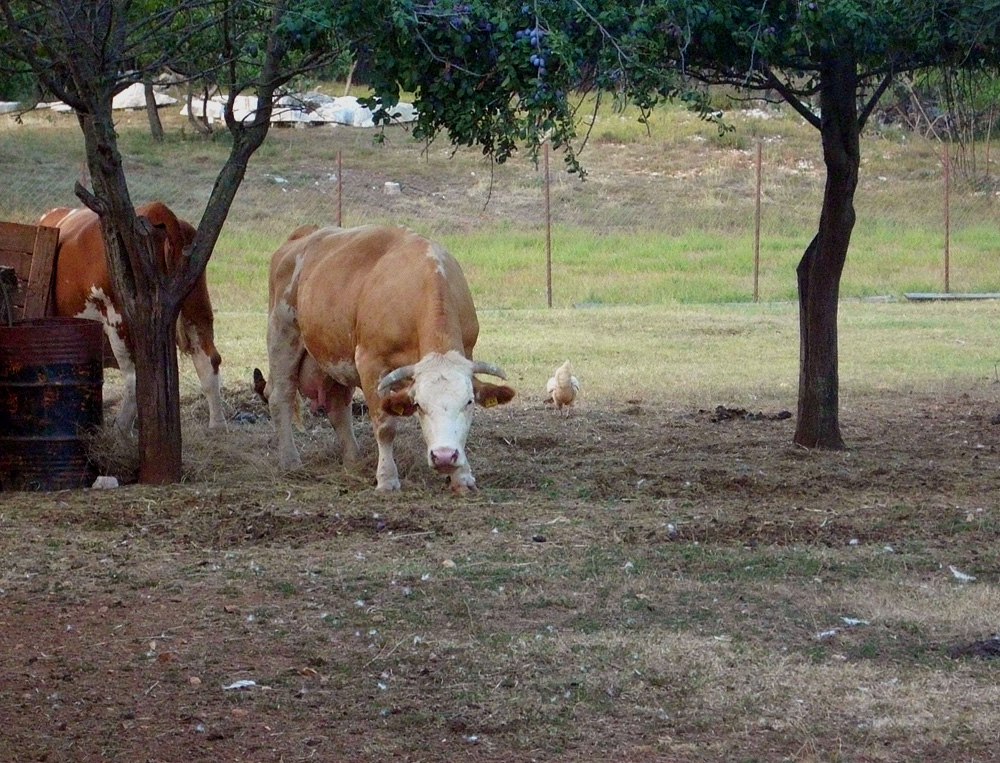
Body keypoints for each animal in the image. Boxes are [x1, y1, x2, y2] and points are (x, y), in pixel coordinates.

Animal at [38, 200, 224, 432]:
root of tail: (155, 209)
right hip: (196, 304)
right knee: (209, 360)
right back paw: (217, 425)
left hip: (119, 319)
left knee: (134, 376)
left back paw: (120, 429)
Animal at [258, 224, 516, 492]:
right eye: (419, 406)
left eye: (468, 402)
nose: (444, 456)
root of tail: (305, 233)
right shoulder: (371, 364)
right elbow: (385, 427)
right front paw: (387, 478)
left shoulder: (467, 352)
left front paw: (462, 476)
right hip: (282, 334)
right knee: (280, 397)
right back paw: (290, 460)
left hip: (335, 357)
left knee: (338, 407)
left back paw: (354, 462)